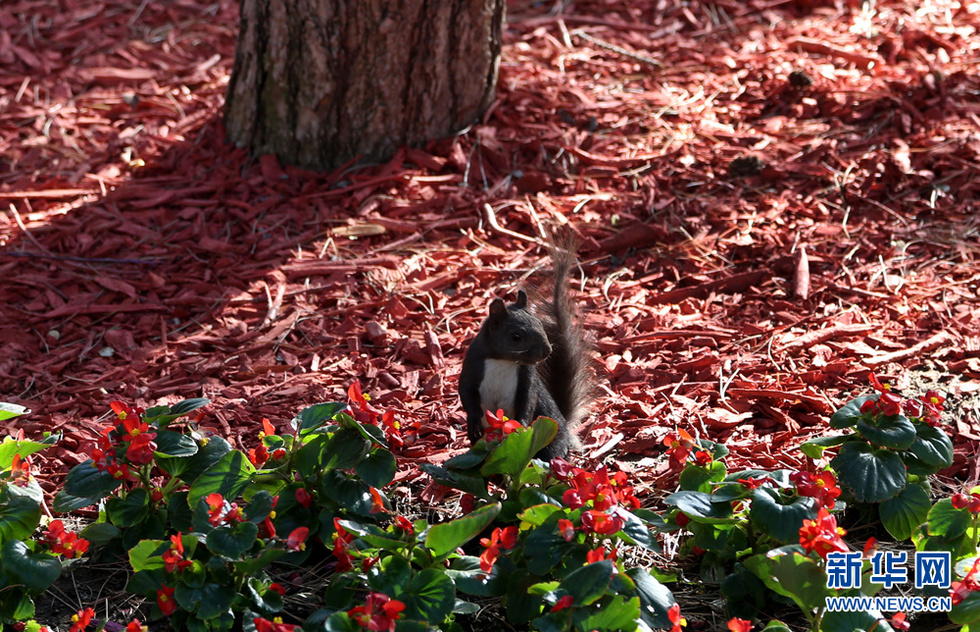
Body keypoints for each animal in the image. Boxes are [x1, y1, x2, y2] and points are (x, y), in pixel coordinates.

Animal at [458, 247, 588, 460]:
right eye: (516, 336)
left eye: (540, 324)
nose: (547, 351)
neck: (504, 361)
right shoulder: (471, 366)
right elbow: (466, 393)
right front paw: (473, 420)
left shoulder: (528, 376)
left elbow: (528, 399)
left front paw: (522, 426)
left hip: (551, 436)